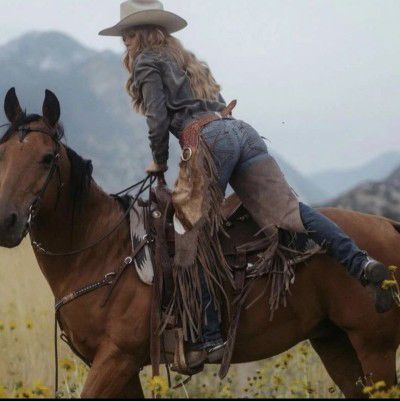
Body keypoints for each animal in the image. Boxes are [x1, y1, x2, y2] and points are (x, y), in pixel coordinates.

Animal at [0, 87, 398, 396]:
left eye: (47, 158)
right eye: (2, 155)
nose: (7, 220)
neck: (101, 253)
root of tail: (388, 226)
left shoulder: (117, 358)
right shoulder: (119, 365)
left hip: (375, 348)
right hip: (334, 343)